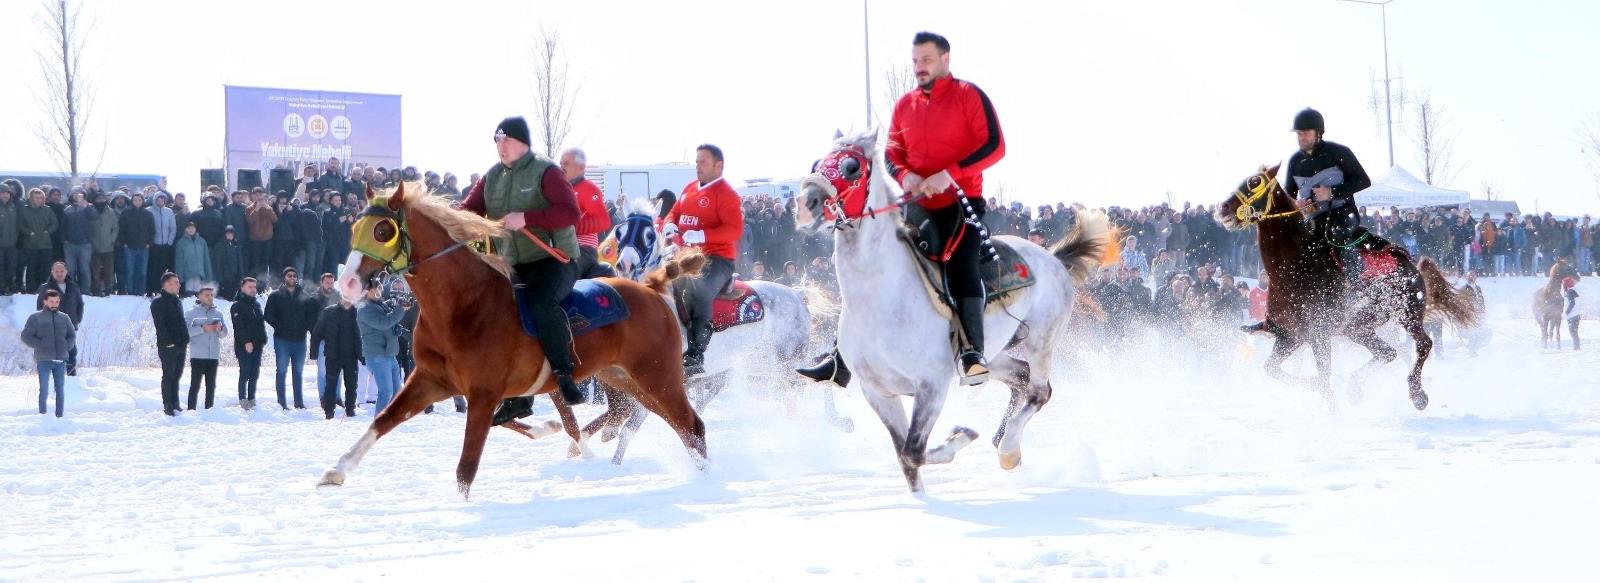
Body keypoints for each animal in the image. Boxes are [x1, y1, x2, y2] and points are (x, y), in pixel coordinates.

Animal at [318, 182, 707, 496]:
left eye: (383, 230)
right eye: (355, 227)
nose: (347, 283)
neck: (464, 304)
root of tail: (652, 287)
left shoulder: (483, 393)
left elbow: (466, 467)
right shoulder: (428, 380)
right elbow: (383, 419)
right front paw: (336, 470)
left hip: (658, 376)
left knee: (691, 425)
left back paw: (707, 479)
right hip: (626, 379)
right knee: (649, 420)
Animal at [790, 131, 1113, 493]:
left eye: (851, 166)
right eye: (818, 163)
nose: (805, 204)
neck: (881, 299)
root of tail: (1053, 258)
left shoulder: (931, 387)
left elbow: (914, 451)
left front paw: (962, 435)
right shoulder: (878, 392)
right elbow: (906, 458)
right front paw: (921, 498)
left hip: (1042, 340)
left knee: (1040, 391)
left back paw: (1008, 448)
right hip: (992, 354)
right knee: (1021, 378)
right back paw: (1004, 442)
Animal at [1216, 164, 1478, 410]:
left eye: (1254, 182)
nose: (1222, 208)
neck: (1294, 267)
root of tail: (1411, 263)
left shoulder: (1318, 336)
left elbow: (1323, 379)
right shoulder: (1290, 337)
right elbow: (1272, 369)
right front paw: (1318, 386)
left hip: (1407, 312)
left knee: (1423, 344)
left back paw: (1417, 395)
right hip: (1357, 327)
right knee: (1388, 352)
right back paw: (1355, 388)